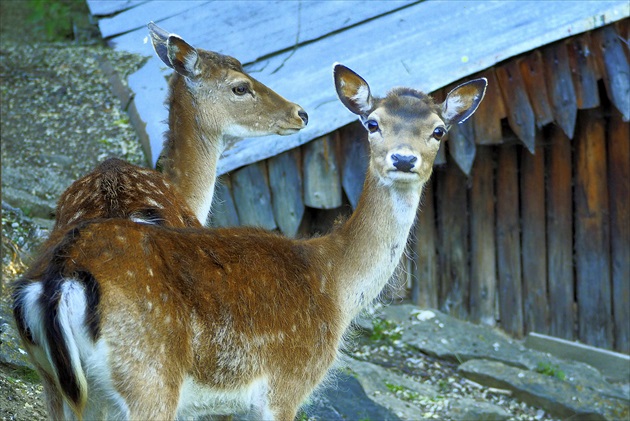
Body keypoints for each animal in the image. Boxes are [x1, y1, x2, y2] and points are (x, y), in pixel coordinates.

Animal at [11, 64, 488, 418]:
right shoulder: (286, 383)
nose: (403, 160)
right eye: (373, 123)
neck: (336, 283)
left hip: (57, 385)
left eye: (439, 130)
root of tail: (58, 280)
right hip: (147, 380)